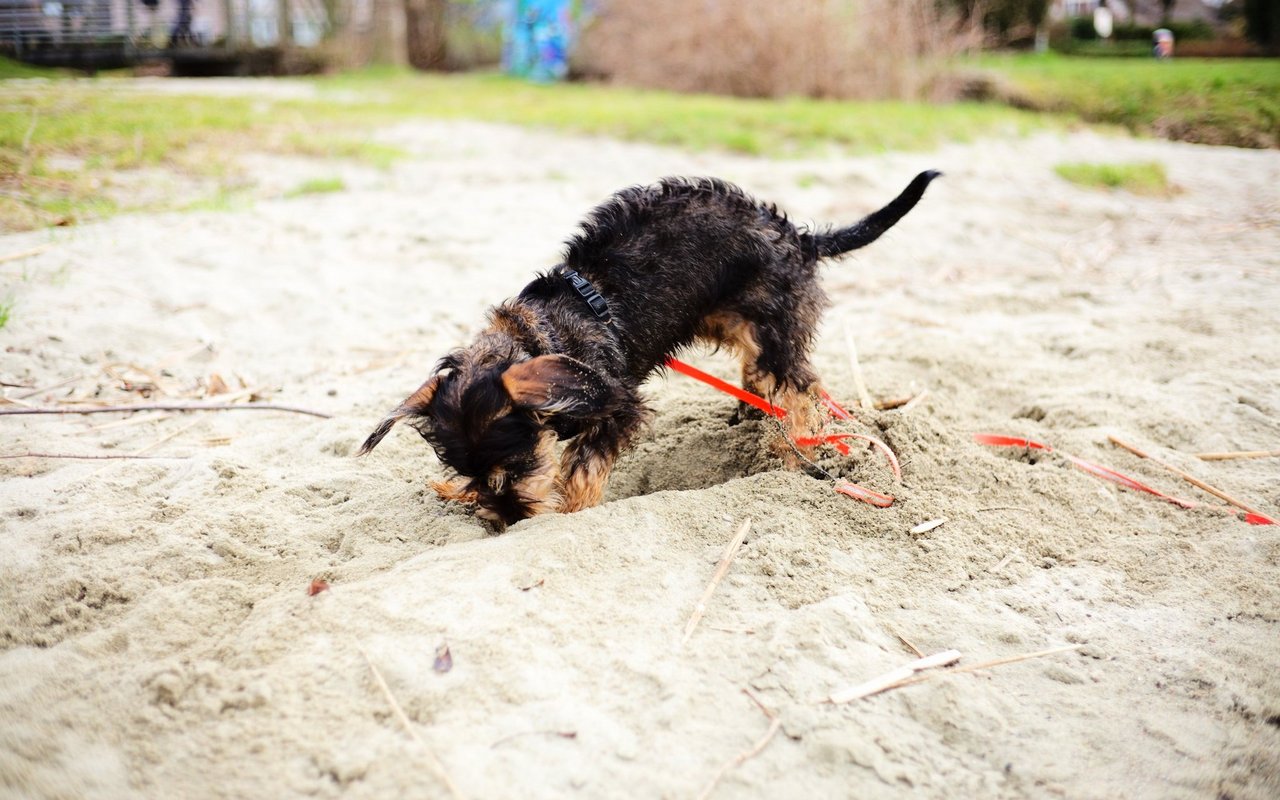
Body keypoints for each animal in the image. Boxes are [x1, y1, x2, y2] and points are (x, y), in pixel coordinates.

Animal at [360, 171, 942, 527]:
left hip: (775, 330)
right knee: (768, 378)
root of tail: (799, 237)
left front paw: (567, 511)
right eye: (475, 475)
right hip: (737, 323)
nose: (509, 521)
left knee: (803, 390)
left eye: (517, 466)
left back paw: (794, 449)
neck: (539, 335)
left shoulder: (619, 407)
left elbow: (582, 469)